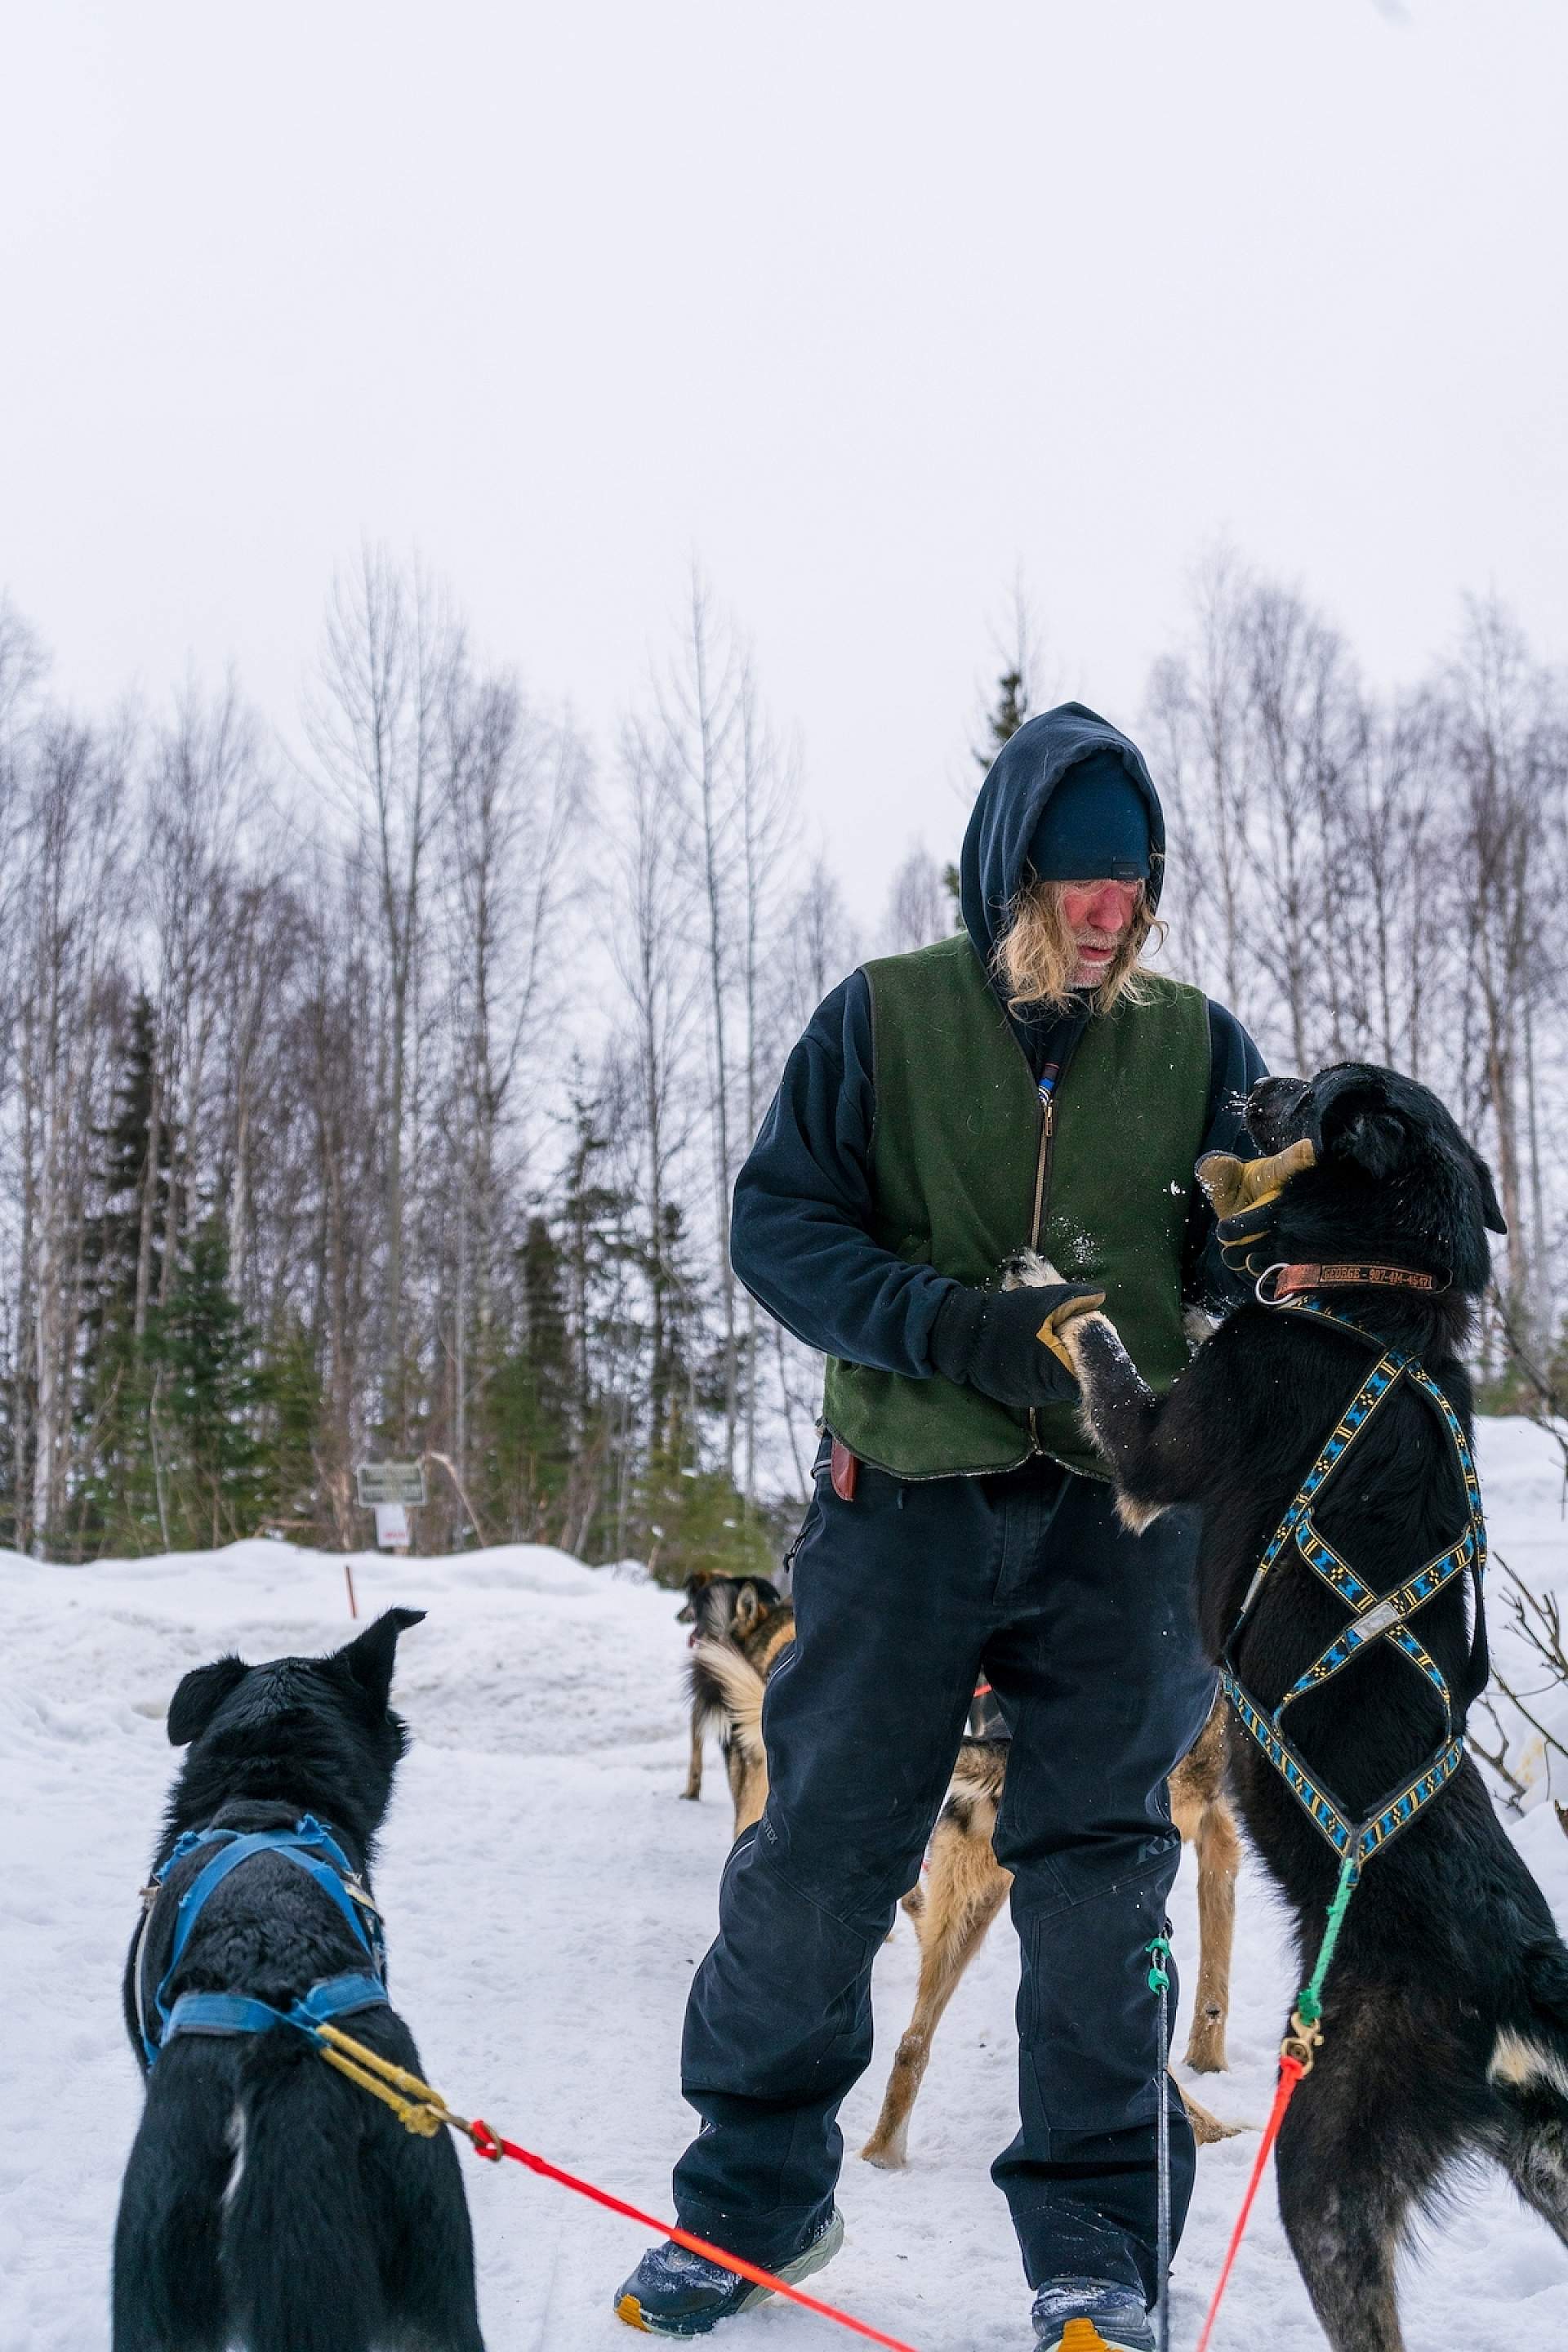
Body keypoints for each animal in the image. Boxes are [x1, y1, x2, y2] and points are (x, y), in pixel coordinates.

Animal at [686, 1580, 1250, 2163]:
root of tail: (1007, 1751)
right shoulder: (1220, 1836)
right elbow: (1215, 1975)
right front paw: (1211, 2062)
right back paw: (1206, 2130)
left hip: (966, 1913)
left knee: (912, 2042)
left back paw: (883, 2155)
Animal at [1062, 1067, 1568, 2352]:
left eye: (1313, 1089)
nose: (1252, 1081)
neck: (1379, 1299)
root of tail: (1517, 1986)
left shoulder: (1161, 1451)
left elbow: (1105, 1356)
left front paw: (1046, 1283)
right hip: (1551, 2167)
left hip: (1326, 2157)